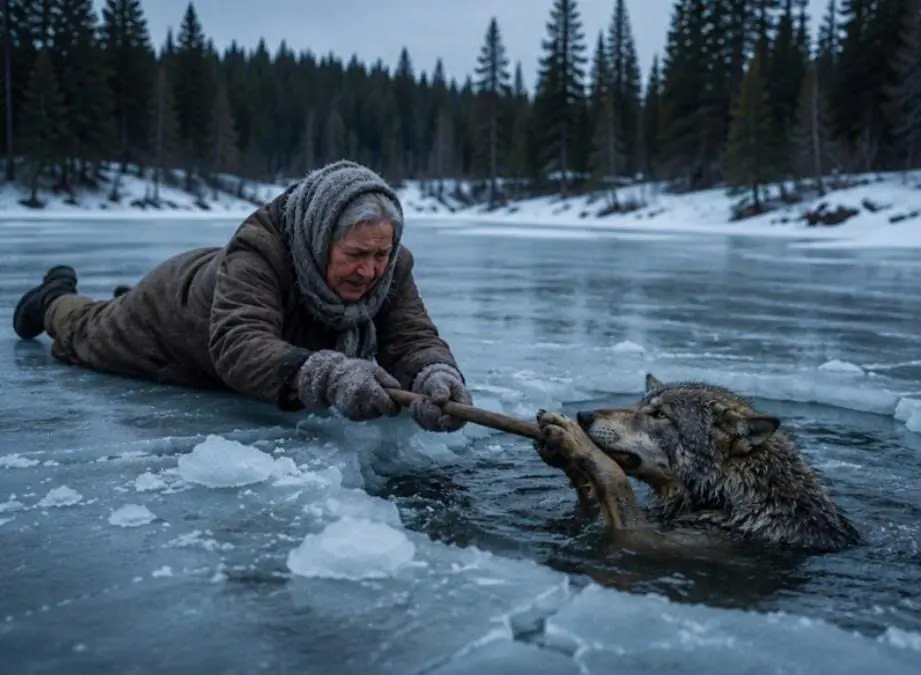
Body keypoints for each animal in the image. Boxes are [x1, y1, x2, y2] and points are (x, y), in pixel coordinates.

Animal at [534, 373, 862, 554]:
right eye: (639, 405)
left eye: (660, 415)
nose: (583, 416)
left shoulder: (646, 538)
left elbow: (614, 478)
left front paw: (574, 440)